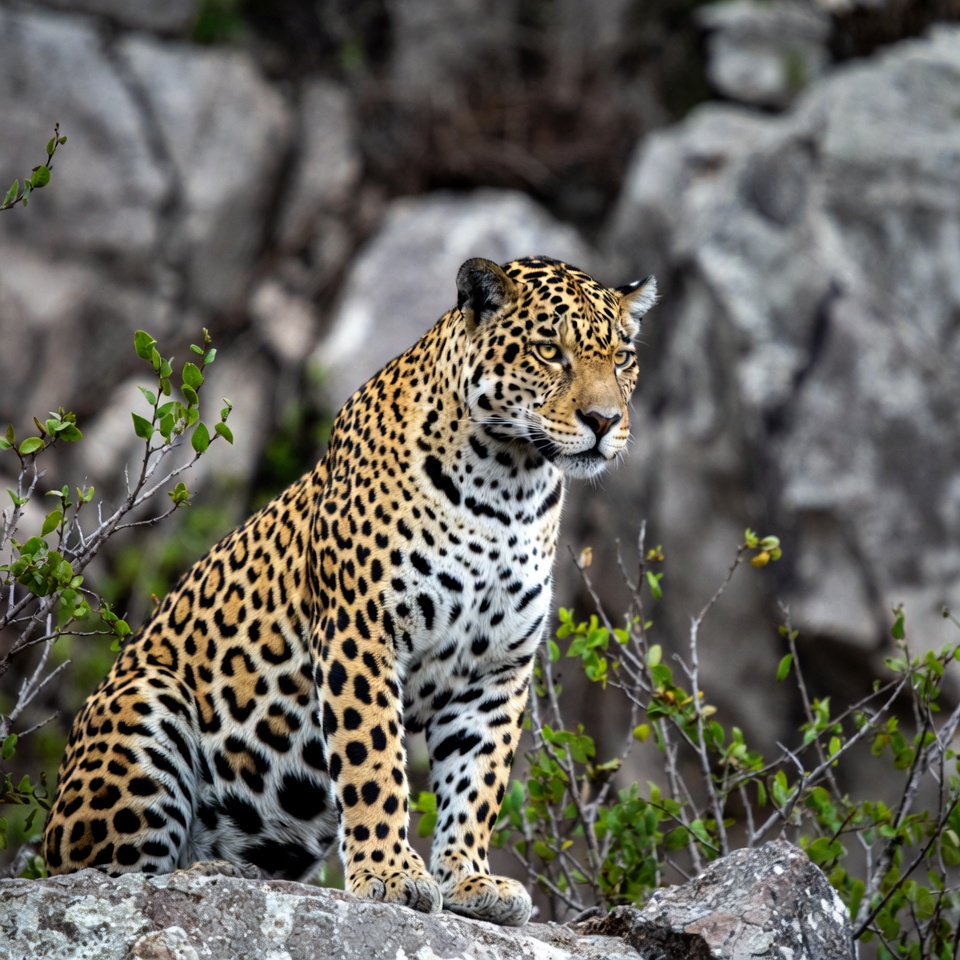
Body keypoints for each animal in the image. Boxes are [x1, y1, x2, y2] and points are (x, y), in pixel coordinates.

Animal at [43, 255, 657, 926]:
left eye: (623, 357)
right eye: (550, 351)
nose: (606, 422)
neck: (509, 488)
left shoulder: (497, 669)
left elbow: (479, 778)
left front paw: (470, 879)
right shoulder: (361, 633)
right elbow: (373, 759)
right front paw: (390, 873)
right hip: (144, 704)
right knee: (105, 881)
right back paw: (210, 874)